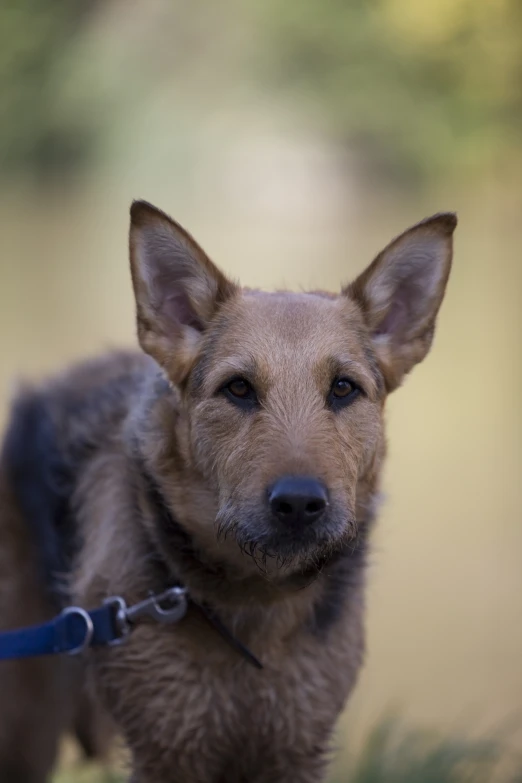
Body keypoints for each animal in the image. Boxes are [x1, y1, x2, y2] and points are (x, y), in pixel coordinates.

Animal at [0, 202, 456, 783]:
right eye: (238, 388)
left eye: (343, 388)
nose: (299, 504)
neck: (255, 603)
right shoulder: (170, 752)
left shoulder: (295, 750)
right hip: (25, 721)